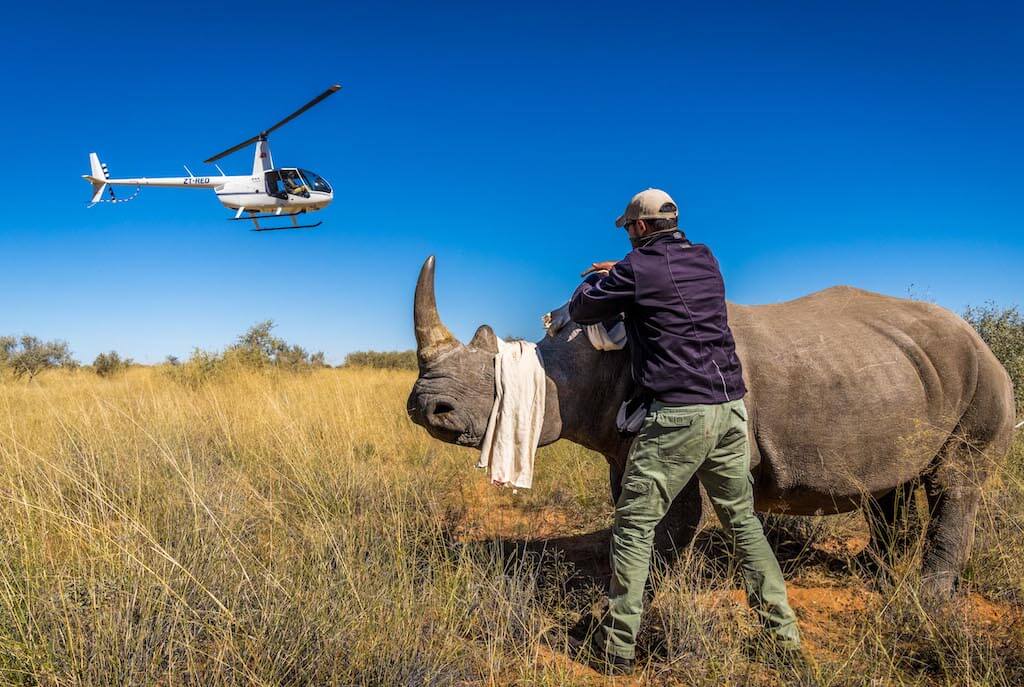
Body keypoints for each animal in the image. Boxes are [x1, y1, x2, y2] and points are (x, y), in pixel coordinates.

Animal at [407, 256, 1016, 596]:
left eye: (495, 379)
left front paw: (643, 585)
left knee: (956, 480)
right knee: (893, 478)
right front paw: (619, 567)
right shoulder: (622, 443)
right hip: (908, 371)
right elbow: (629, 505)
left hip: (985, 376)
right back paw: (874, 573)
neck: (590, 358)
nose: (425, 408)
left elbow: (671, 519)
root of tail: (981, 339)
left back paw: (928, 599)